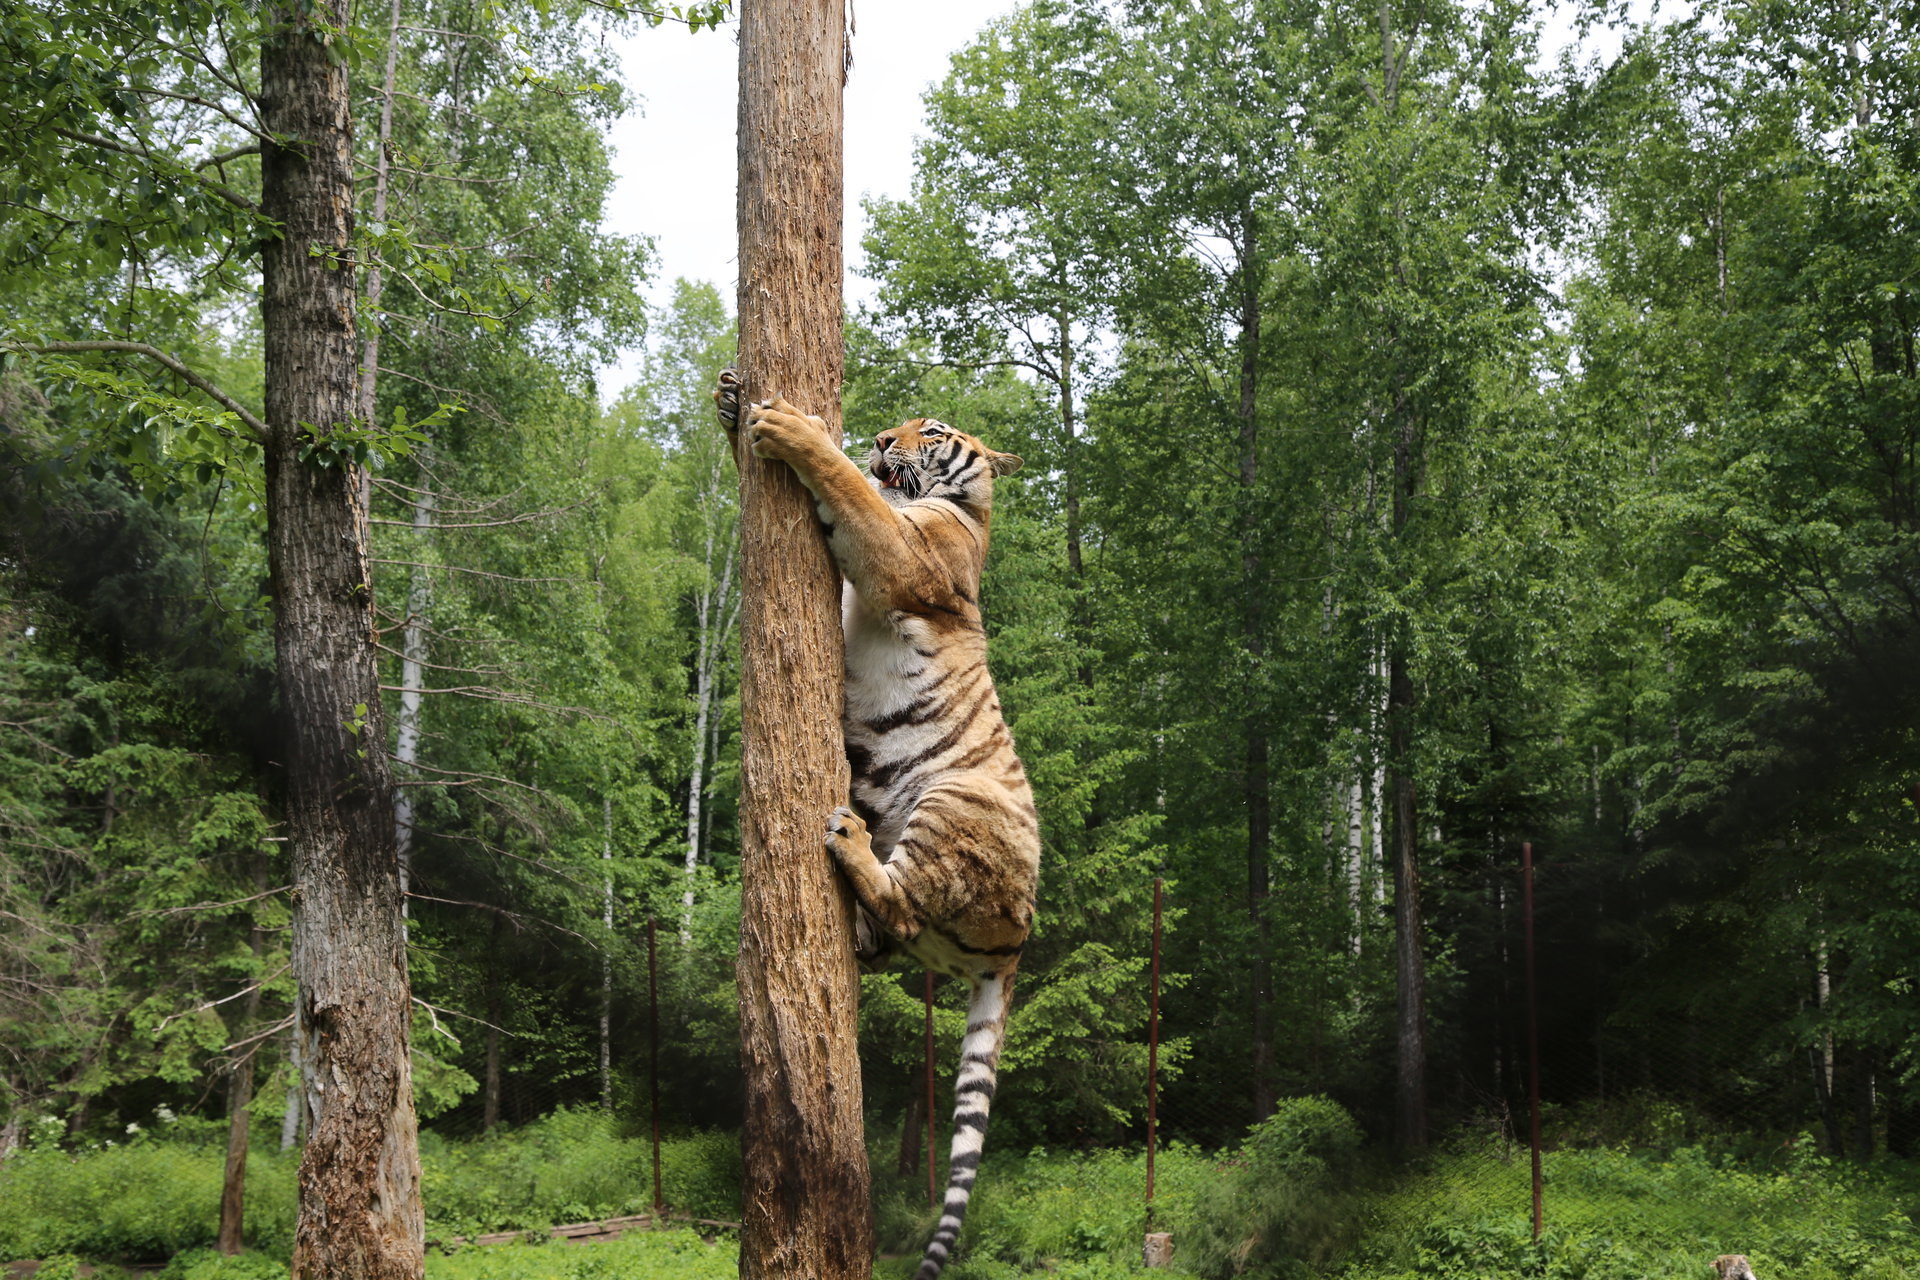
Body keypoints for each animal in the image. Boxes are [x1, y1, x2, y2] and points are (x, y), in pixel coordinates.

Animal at [715, 369, 1040, 1280]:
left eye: (928, 429)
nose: (882, 440)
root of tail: (1018, 943)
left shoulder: (896, 553)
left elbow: (850, 494)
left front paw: (797, 429)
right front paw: (730, 405)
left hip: (950, 800)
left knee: (900, 902)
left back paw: (851, 841)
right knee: (894, 933)